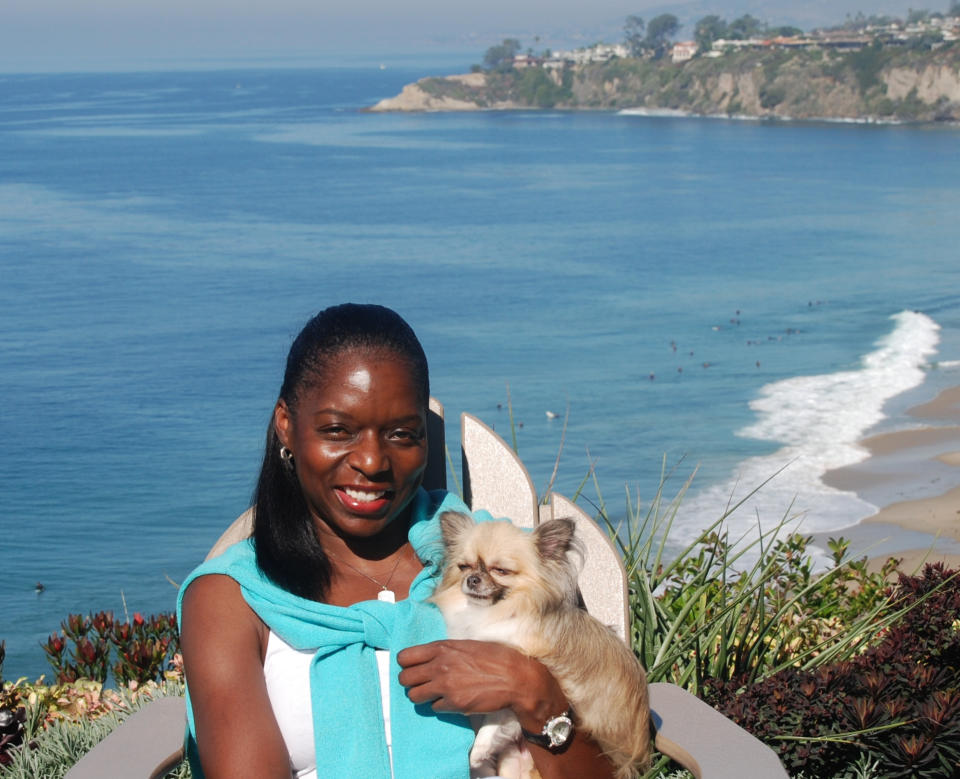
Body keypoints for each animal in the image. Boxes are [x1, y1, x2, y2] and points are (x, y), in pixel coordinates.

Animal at [434, 512, 652, 779]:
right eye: (463, 567)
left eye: (500, 570)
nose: (472, 579)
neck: (497, 611)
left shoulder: (510, 693)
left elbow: (490, 725)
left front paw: (477, 753)